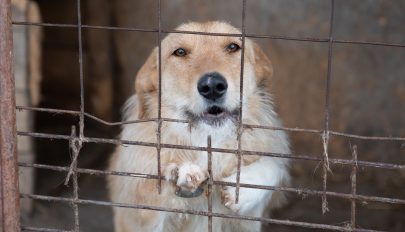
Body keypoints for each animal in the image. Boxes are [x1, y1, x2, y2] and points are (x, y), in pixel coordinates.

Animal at [108, 20, 290, 231]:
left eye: (233, 47)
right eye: (180, 52)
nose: (212, 86)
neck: (207, 142)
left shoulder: (250, 220)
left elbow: (274, 165)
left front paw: (244, 187)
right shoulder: (138, 215)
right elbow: (151, 192)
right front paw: (181, 171)